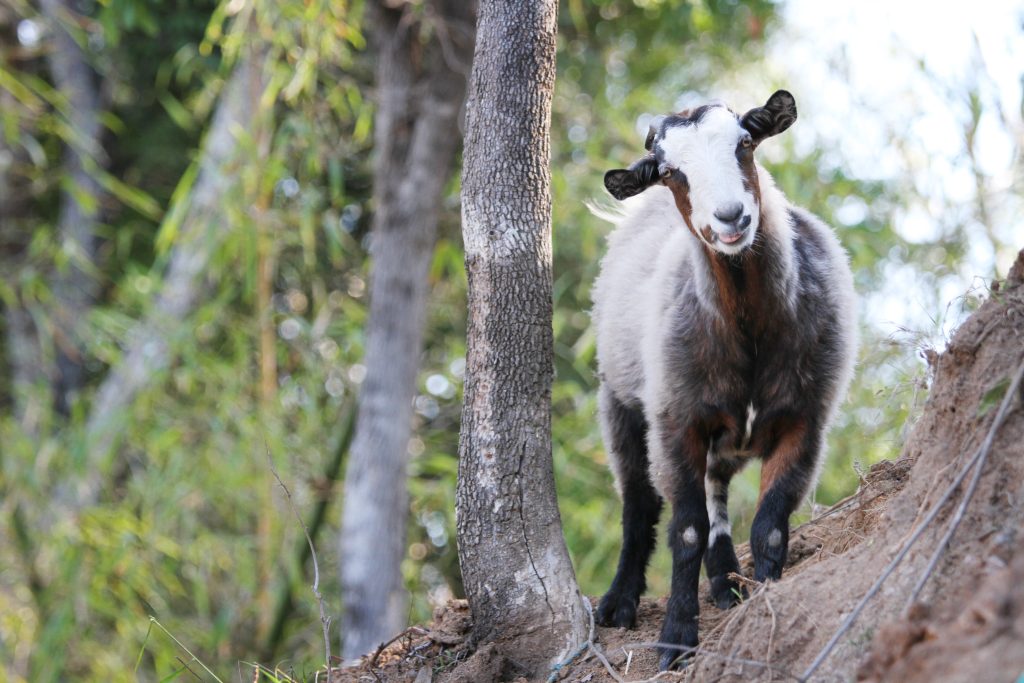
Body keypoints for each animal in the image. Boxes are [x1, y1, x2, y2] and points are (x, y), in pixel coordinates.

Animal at [589, 89, 860, 667]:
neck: (749, 326)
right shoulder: (676, 422)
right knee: (638, 503)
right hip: (621, 402)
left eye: (745, 143)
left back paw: (725, 583)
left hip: (722, 431)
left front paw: (766, 602)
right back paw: (620, 603)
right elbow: (686, 530)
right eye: (670, 172)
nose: (731, 217)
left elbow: (769, 528)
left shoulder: (805, 421)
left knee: (716, 494)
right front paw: (675, 640)